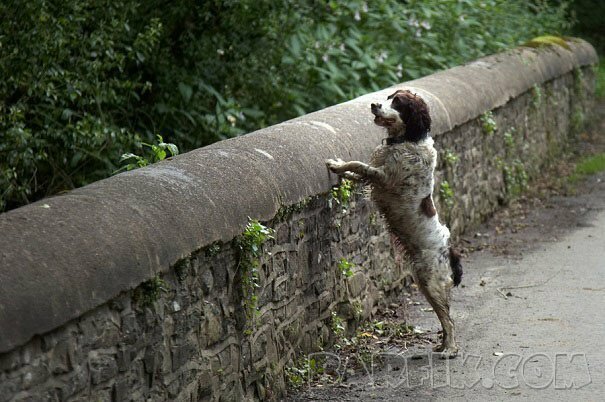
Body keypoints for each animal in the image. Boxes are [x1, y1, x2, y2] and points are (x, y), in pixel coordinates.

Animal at [328, 88, 460, 358]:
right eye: (389, 97)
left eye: (398, 102)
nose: (373, 104)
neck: (407, 140)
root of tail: (450, 253)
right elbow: (357, 172)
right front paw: (341, 170)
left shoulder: (384, 177)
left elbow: (359, 165)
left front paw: (337, 165)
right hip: (423, 282)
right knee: (444, 318)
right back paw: (442, 345)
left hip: (433, 282)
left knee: (450, 321)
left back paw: (450, 349)